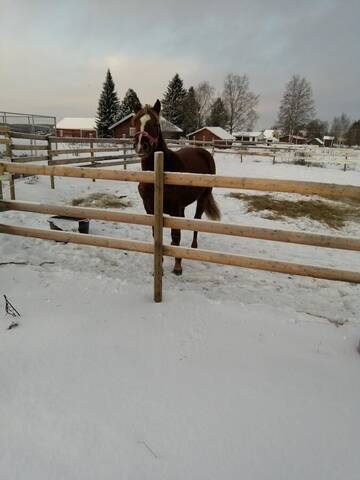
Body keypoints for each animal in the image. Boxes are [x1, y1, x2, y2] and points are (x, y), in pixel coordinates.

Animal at [133, 99, 219, 276]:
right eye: (136, 122)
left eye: (155, 123)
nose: (141, 146)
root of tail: (204, 152)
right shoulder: (150, 209)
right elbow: (156, 233)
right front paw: (159, 265)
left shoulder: (176, 209)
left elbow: (176, 235)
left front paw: (178, 266)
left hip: (202, 198)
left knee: (196, 221)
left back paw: (193, 247)